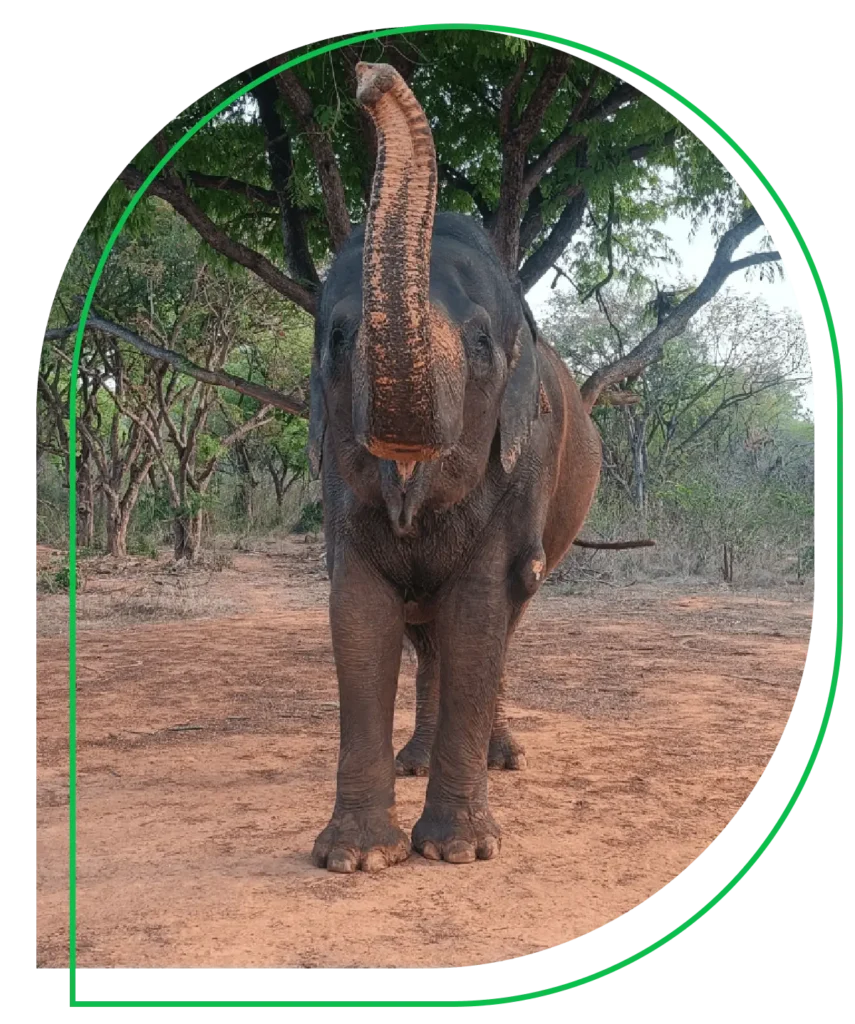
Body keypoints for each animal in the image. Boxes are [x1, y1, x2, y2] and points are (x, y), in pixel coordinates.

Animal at [307, 62, 602, 873]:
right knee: (426, 634)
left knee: (507, 613)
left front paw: (460, 853)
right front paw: (358, 858)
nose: (366, 74)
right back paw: (415, 759)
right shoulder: (336, 479)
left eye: (479, 343)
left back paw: (503, 757)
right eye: (337, 337)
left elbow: (477, 613)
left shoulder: (524, 466)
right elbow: (360, 612)